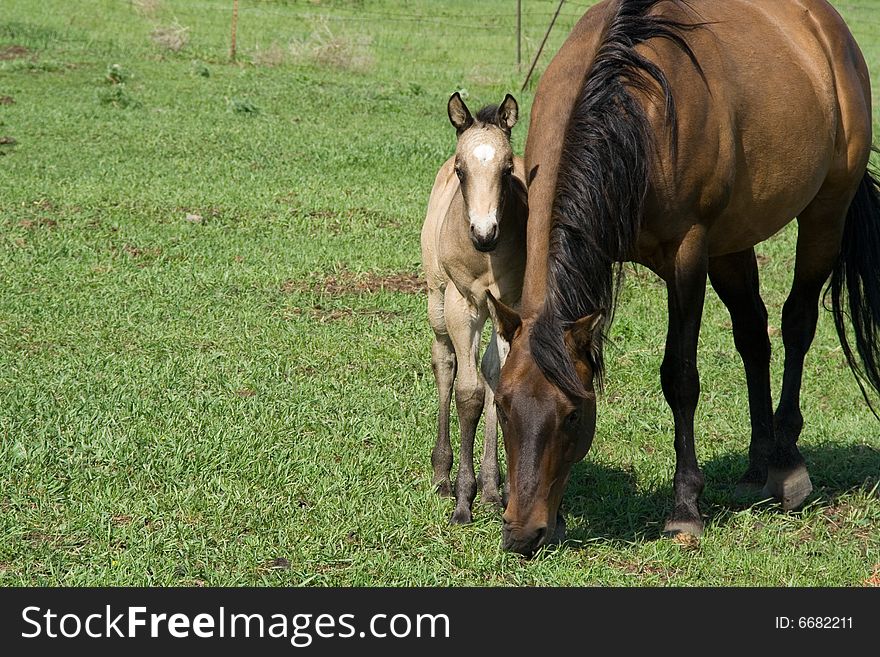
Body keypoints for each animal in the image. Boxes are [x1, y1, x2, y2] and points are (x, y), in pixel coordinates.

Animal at [488, 0, 880, 552]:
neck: (631, 113)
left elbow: (680, 377)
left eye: (573, 415)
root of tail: (828, 29)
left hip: (825, 213)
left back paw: (787, 466)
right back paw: (757, 468)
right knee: (753, 334)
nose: (523, 534)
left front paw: (685, 507)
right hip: (733, 241)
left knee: (797, 323)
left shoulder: (688, 255)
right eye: (503, 407)